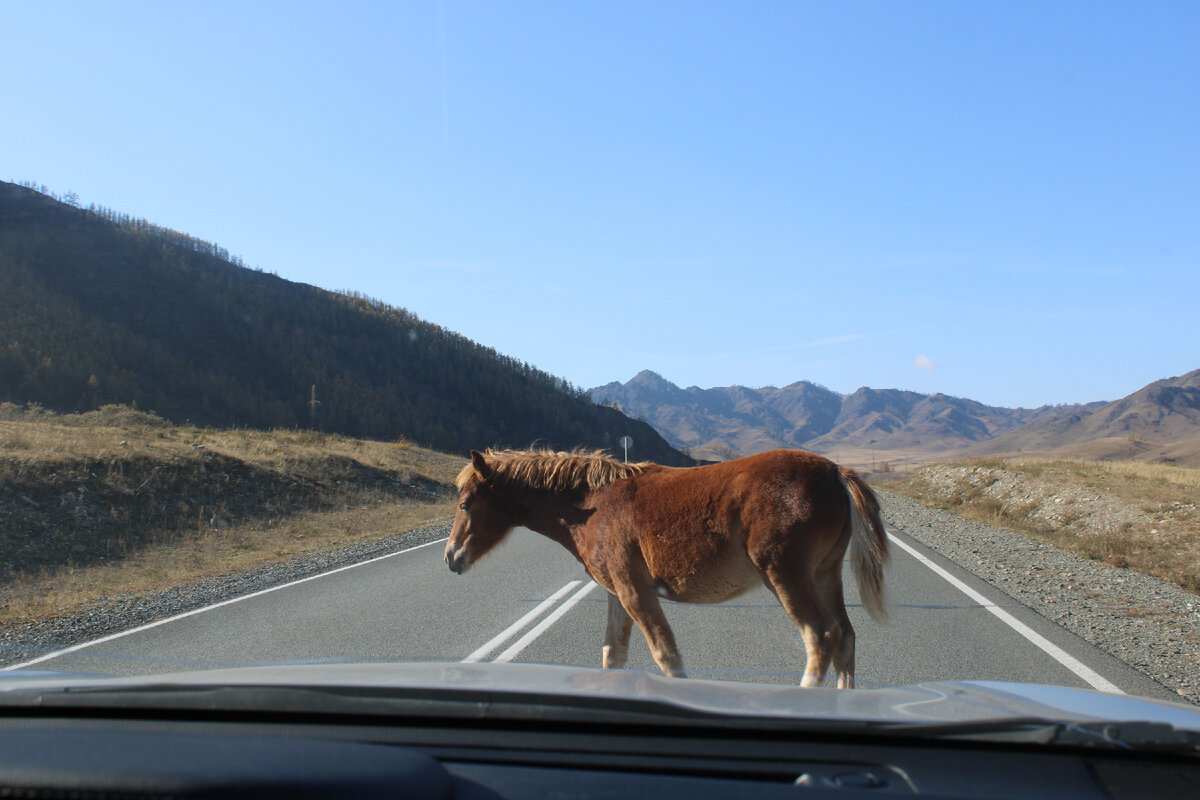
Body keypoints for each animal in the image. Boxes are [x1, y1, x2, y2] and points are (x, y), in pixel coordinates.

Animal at [446, 448, 888, 686]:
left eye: (466, 504)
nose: (451, 557)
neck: (593, 505)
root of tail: (835, 471)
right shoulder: (616, 593)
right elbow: (613, 653)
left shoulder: (634, 591)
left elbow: (665, 654)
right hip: (825, 574)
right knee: (845, 637)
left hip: (786, 576)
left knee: (821, 637)